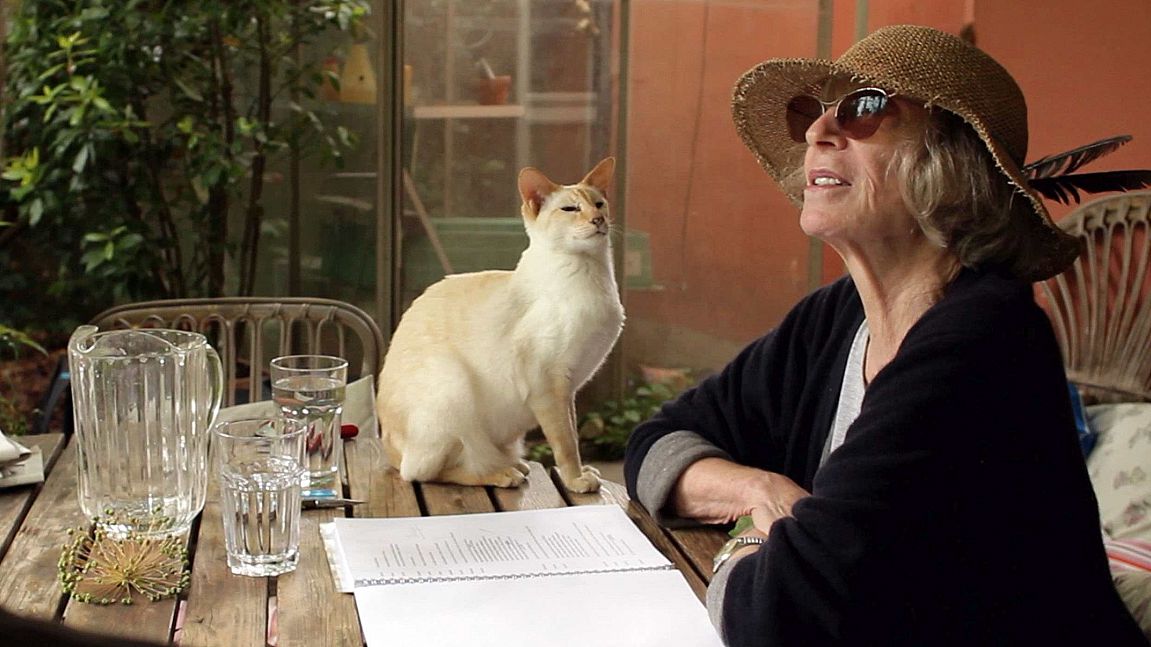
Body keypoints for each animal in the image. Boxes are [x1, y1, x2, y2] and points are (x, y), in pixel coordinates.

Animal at [376, 157, 624, 493]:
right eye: (571, 209)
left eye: (599, 204)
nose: (598, 219)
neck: (590, 272)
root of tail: (386, 445)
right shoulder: (548, 383)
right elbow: (566, 443)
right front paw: (576, 479)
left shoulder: (569, 388)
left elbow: (572, 432)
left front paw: (582, 472)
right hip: (450, 382)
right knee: (421, 471)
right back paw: (500, 474)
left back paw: (513, 465)